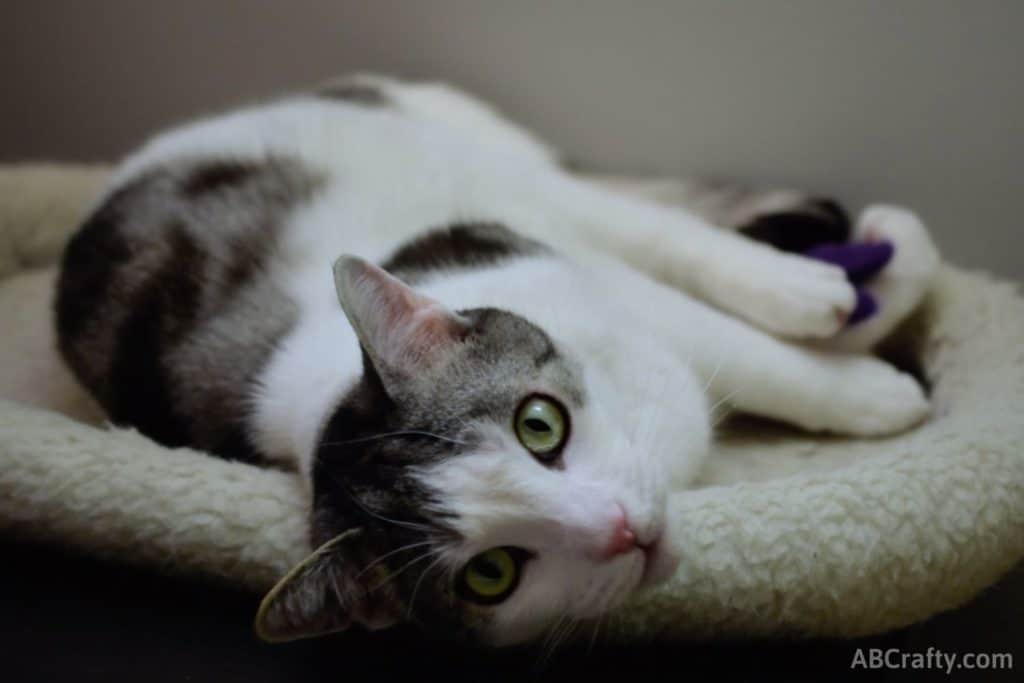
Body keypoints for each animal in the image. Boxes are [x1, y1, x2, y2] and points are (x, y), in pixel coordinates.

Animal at [54, 73, 937, 647]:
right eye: (492, 573)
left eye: (538, 424)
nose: (621, 531)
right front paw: (875, 360)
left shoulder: (592, 280)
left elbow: (756, 353)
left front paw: (873, 388)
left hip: (490, 167)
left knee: (650, 220)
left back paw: (808, 279)